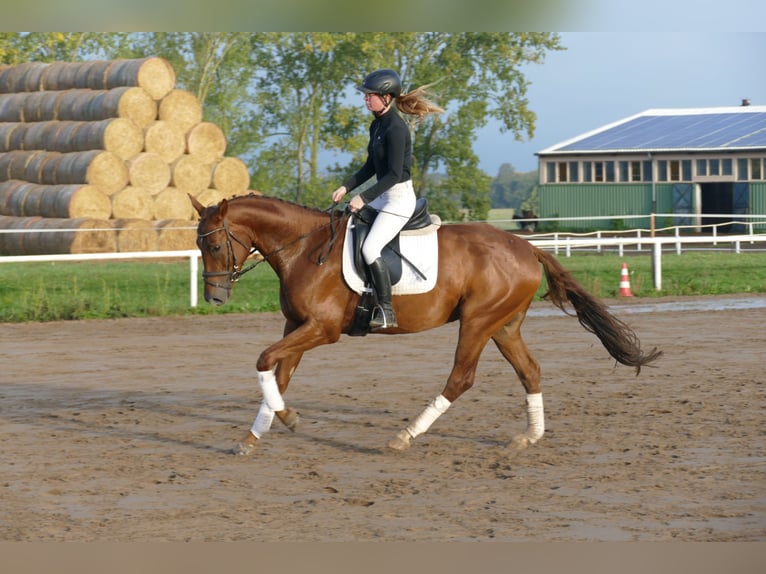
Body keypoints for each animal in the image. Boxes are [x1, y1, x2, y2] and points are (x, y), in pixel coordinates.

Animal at [190, 196, 660, 456]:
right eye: (199, 244)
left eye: (213, 245)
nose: (215, 298)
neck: (305, 249)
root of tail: (527, 247)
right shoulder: (296, 326)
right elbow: (279, 373)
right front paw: (257, 434)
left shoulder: (322, 330)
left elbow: (263, 360)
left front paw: (287, 419)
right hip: (504, 325)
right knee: (530, 371)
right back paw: (529, 438)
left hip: (478, 322)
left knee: (461, 379)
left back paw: (405, 436)